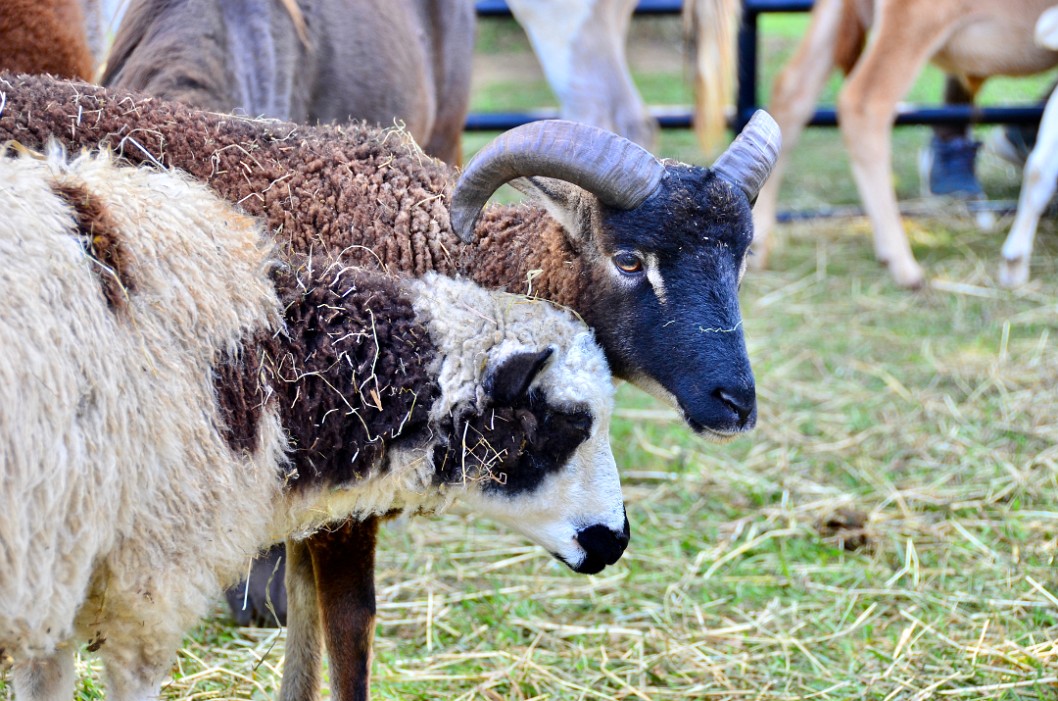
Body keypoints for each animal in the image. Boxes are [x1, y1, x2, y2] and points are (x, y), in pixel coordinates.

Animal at [0, 69, 778, 701]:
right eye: (628, 259)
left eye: (740, 258)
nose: (735, 402)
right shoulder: (335, 469)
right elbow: (348, 627)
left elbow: (305, 617)